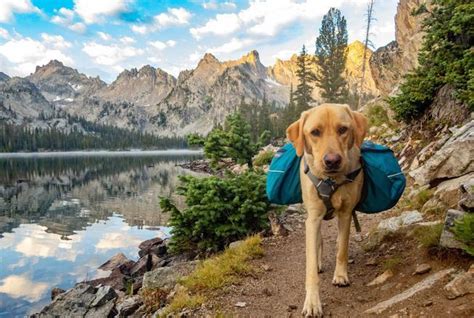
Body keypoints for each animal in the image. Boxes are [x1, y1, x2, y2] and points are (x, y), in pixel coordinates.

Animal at [286, 103, 366, 316]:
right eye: (315, 132)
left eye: (343, 129)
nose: (332, 160)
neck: (330, 181)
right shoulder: (313, 218)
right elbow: (311, 266)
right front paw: (312, 302)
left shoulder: (346, 214)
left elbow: (342, 248)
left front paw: (341, 275)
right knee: (318, 242)